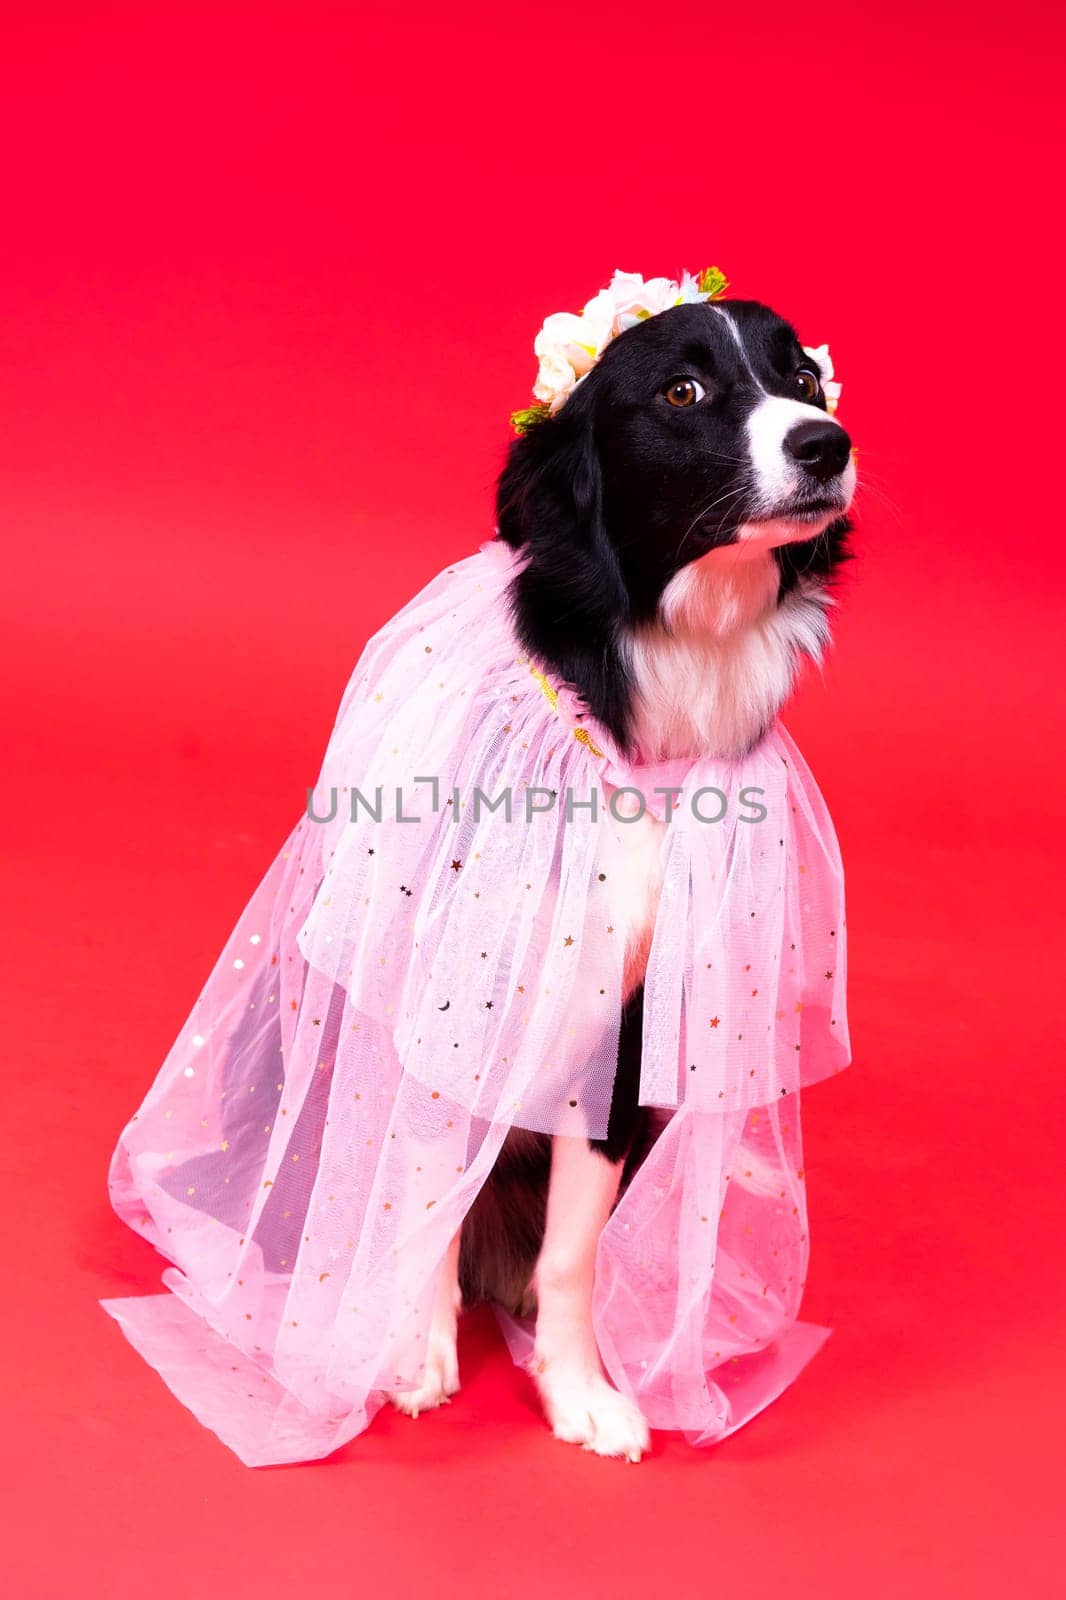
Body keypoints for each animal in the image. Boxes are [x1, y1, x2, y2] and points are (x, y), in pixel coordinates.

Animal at [385, 297, 851, 1465]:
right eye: (681, 391)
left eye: (801, 376)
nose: (827, 445)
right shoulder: (442, 987)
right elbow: (419, 1182)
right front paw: (410, 1347)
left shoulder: (624, 1021)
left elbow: (576, 1247)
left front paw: (577, 1386)